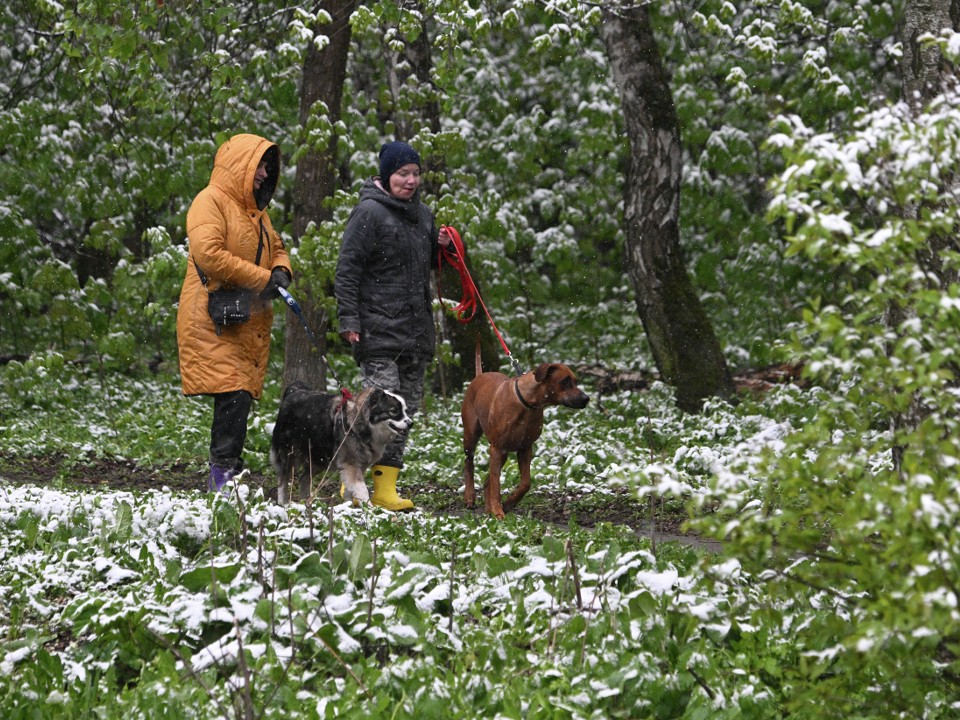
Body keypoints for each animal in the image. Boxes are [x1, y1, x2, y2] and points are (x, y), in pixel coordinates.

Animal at [268, 382, 410, 506]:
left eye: (405, 411)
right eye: (394, 411)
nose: (411, 423)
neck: (360, 423)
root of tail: (293, 392)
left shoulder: (360, 465)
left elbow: (349, 489)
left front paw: (348, 506)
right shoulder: (351, 465)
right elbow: (362, 489)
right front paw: (369, 509)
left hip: (319, 459)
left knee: (303, 480)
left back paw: (307, 504)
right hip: (288, 454)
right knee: (283, 479)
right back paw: (283, 503)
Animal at [462, 352, 588, 516]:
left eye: (575, 381)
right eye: (565, 381)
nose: (586, 399)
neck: (528, 403)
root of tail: (479, 376)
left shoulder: (525, 448)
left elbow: (526, 483)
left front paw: (508, 503)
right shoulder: (497, 448)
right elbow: (496, 484)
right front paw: (498, 511)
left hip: (502, 453)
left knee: (488, 479)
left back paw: (489, 508)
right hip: (472, 435)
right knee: (469, 462)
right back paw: (470, 497)